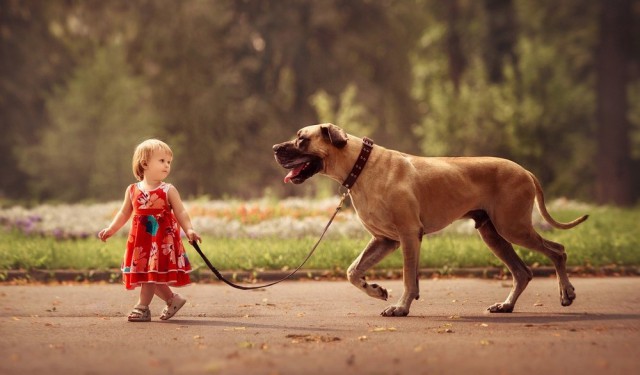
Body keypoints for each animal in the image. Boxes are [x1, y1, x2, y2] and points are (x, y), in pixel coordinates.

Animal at [272, 124, 588, 318]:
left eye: (302, 139)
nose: (274, 147)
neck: (360, 165)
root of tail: (525, 170)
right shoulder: (385, 240)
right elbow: (352, 271)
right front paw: (376, 290)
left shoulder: (408, 235)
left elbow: (408, 277)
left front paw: (400, 307)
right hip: (493, 233)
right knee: (522, 272)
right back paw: (506, 305)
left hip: (514, 227)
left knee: (557, 250)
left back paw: (567, 293)